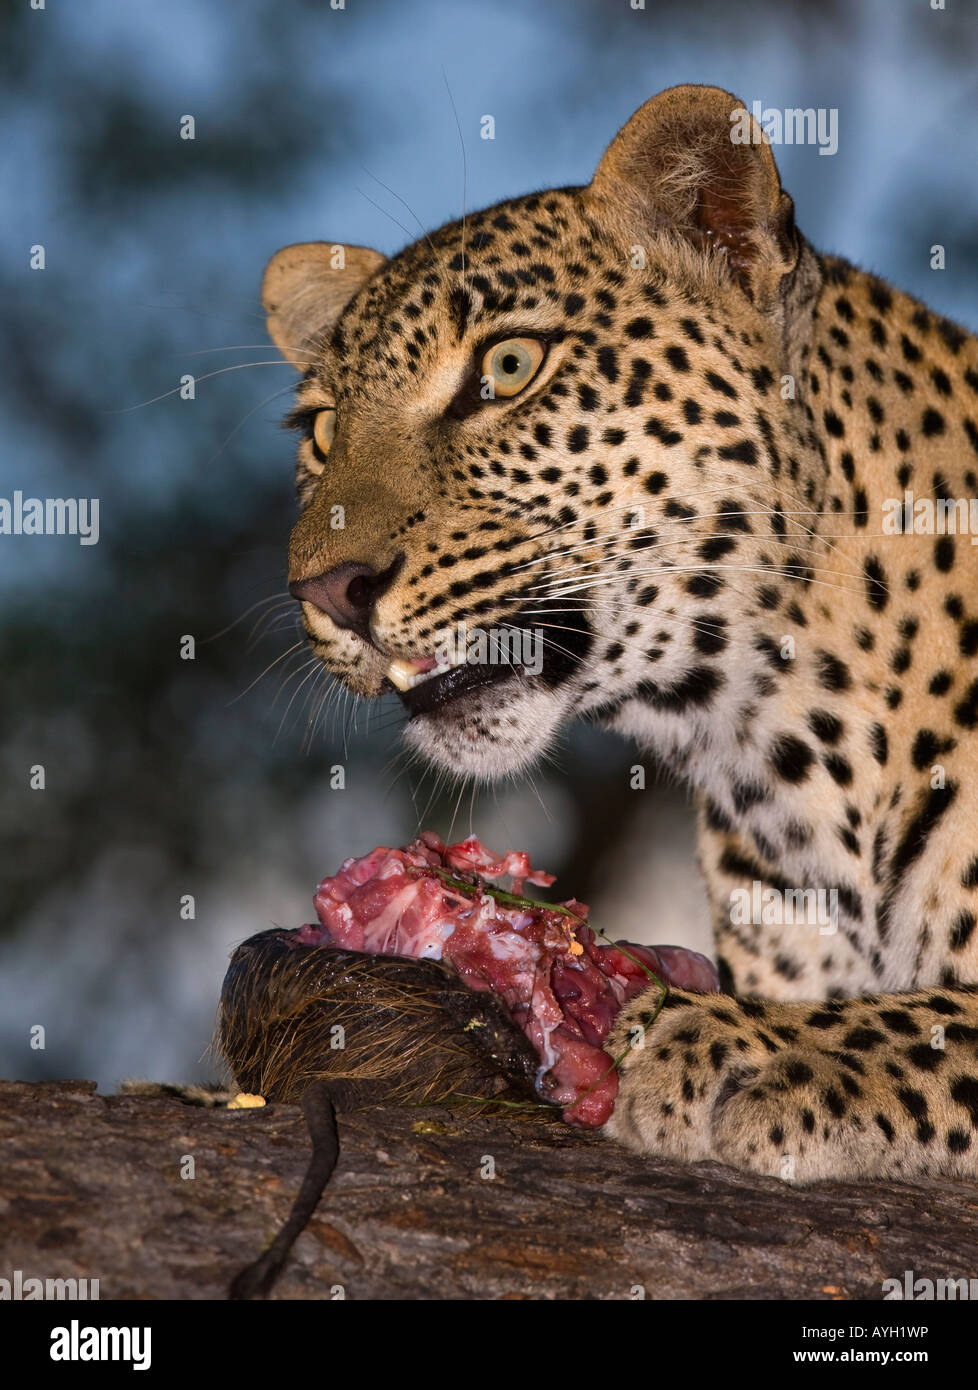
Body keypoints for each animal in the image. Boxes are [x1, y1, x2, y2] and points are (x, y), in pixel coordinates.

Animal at [259, 81, 978, 1178]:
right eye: (323, 432)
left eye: (509, 366)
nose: (327, 587)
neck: (781, 745)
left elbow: (945, 1019)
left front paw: (745, 1049)